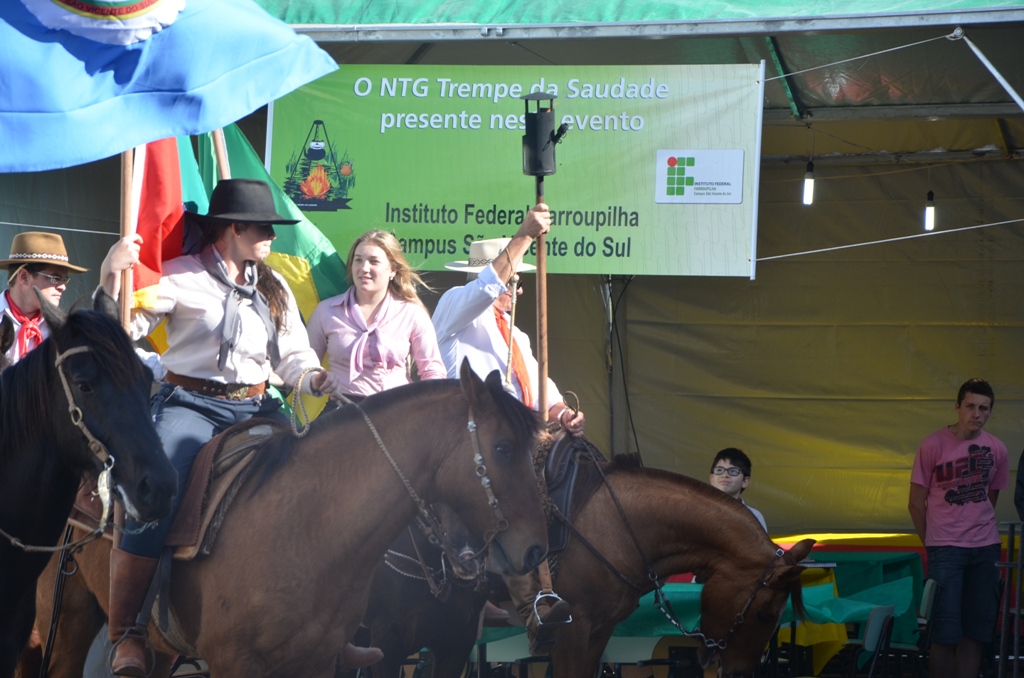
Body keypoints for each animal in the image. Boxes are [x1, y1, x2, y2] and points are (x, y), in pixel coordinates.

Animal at [21, 362, 550, 678]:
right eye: (503, 448)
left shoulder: (328, 660)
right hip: (65, 623)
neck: (309, 528)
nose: (536, 548)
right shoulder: (236, 662)